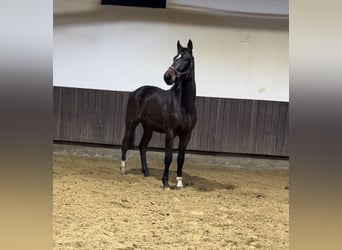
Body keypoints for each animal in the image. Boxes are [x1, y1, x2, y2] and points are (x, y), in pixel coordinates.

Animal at [120, 39, 196, 189]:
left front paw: (179, 183)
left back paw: (146, 172)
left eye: (186, 59)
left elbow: (181, 158)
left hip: (148, 128)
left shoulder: (186, 135)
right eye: (174, 58)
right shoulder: (170, 132)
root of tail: (136, 91)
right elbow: (168, 158)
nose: (167, 76)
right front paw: (165, 183)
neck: (183, 106)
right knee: (125, 143)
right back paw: (123, 169)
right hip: (131, 122)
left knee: (142, 146)